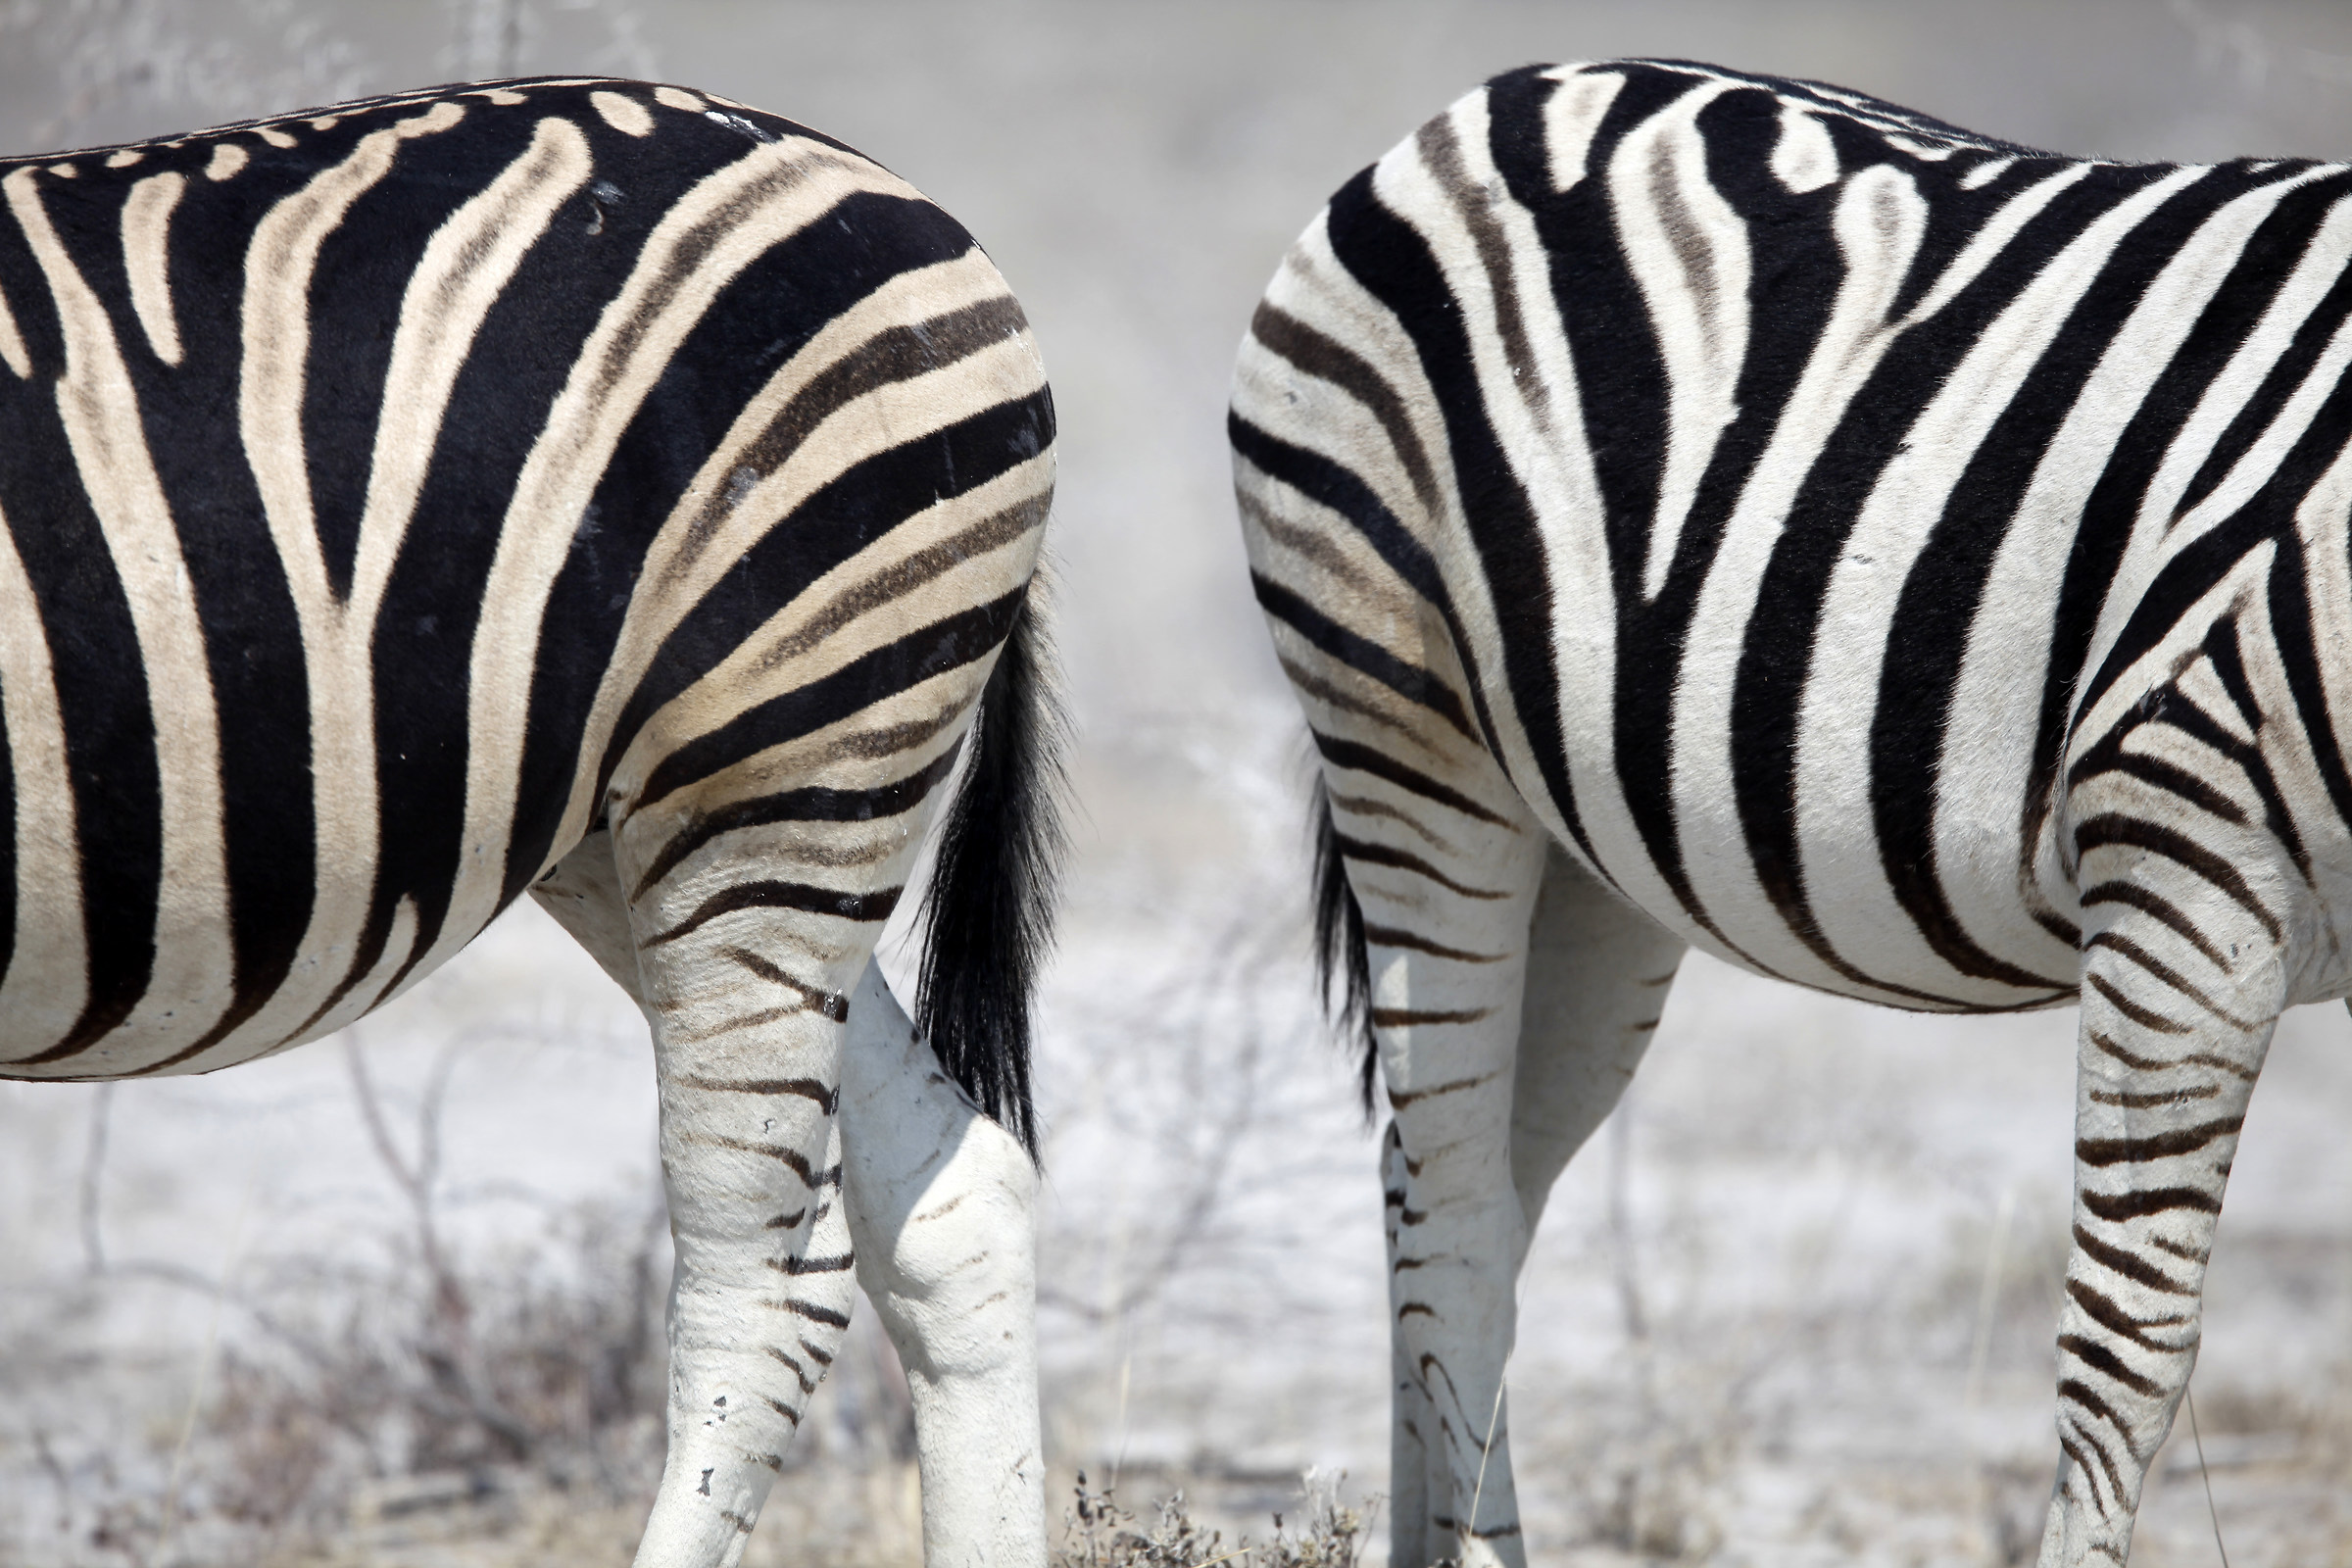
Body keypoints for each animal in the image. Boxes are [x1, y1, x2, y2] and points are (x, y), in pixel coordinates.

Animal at [1233, 56, 2352, 1568]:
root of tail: (1492, 96)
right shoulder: (2187, 846)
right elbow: (2127, 1358)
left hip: (1584, 862)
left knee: (1458, 1184)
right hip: (1407, 733)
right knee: (1455, 1205)